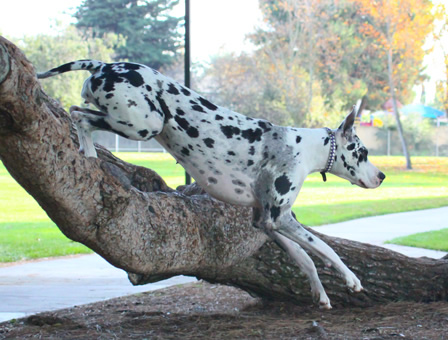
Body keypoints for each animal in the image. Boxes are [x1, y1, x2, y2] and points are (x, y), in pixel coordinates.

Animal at [37, 59, 384, 310]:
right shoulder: (279, 218)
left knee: (76, 111)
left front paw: (320, 294)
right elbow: (324, 248)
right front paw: (351, 279)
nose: (381, 176)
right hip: (145, 124)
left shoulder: (265, 222)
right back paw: (89, 153)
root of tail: (104, 64)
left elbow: (306, 258)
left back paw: (88, 154)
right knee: (80, 117)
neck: (304, 147)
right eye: (363, 152)